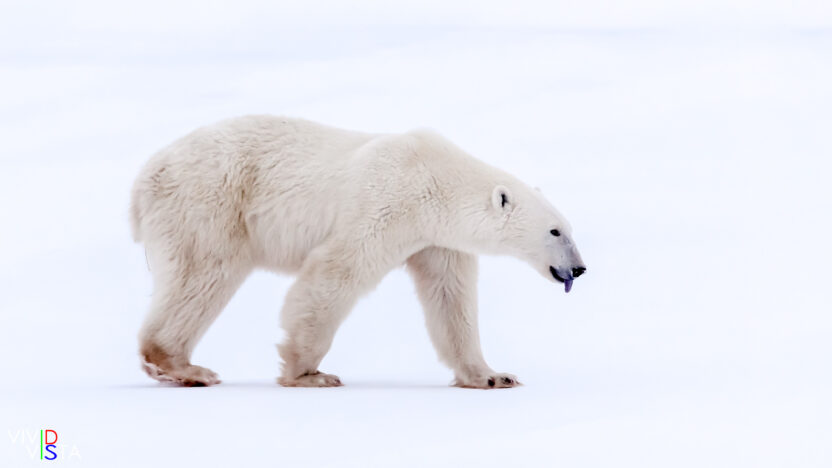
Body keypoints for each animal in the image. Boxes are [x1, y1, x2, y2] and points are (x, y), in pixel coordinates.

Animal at [130, 115, 586, 389]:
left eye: (570, 228)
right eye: (555, 230)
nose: (579, 269)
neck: (436, 178)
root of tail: (145, 176)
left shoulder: (437, 240)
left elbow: (450, 299)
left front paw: (492, 376)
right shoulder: (386, 202)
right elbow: (336, 272)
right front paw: (307, 373)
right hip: (210, 201)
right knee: (205, 273)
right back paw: (183, 365)